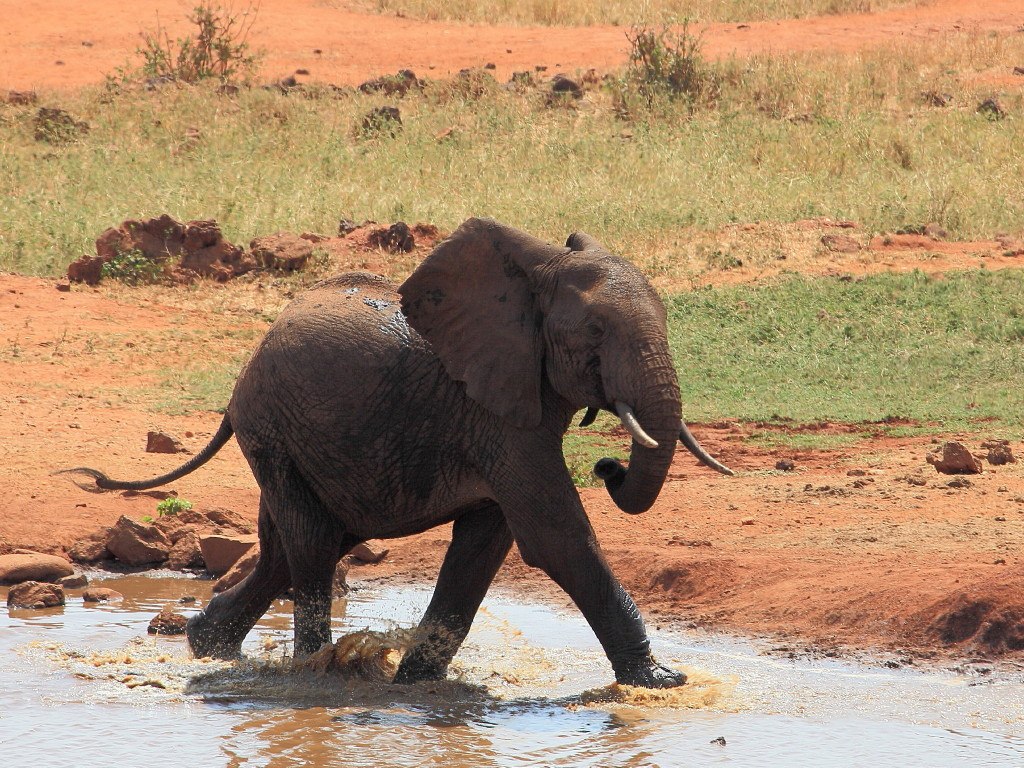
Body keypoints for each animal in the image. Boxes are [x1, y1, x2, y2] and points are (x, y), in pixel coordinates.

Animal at [66, 218, 729, 692]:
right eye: (594, 333)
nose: (609, 467)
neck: (537, 271)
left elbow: (485, 544)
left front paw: (417, 682)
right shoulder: (495, 416)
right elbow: (556, 537)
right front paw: (663, 681)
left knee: (294, 545)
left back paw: (209, 645)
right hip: (273, 429)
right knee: (310, 544)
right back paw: (314, 673)